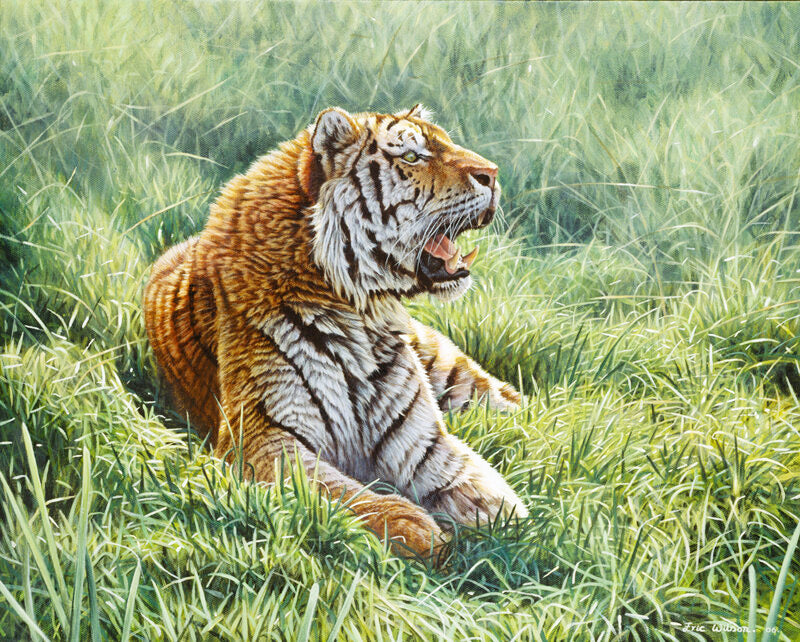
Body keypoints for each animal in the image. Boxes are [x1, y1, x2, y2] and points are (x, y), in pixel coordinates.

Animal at [143, 105, 528, 558]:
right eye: (411, 156)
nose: (493, 174)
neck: (362, 314)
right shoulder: (262, 435)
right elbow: (335, 489)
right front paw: (415, 528)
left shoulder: (421, 441)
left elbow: (487, 495)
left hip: (449, 367)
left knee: (511, 402)